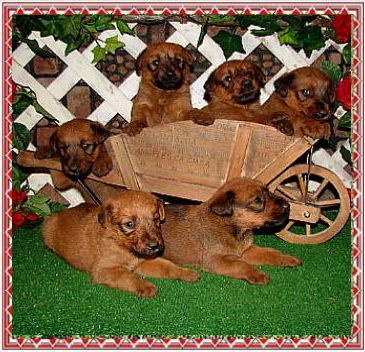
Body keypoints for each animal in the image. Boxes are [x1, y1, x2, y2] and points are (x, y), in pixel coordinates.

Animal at [42, 190, 199, 296]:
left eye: (155, 219)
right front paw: (145, 286)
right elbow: (128, 277)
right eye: (129, 224)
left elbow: (168, 266)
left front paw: (186, 273)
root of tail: (59, 214)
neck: (121, 244)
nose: (155, 246)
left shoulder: (144, 261)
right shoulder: (104, 270)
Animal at [161, 177, 300, 284]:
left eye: (268, 191)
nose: (288, 206)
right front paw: (258, 274)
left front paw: (288, 259)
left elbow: (270, 252)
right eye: (257, 200)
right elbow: (241, 265)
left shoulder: (245, 250)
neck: (229, 226)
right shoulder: (215, 260)